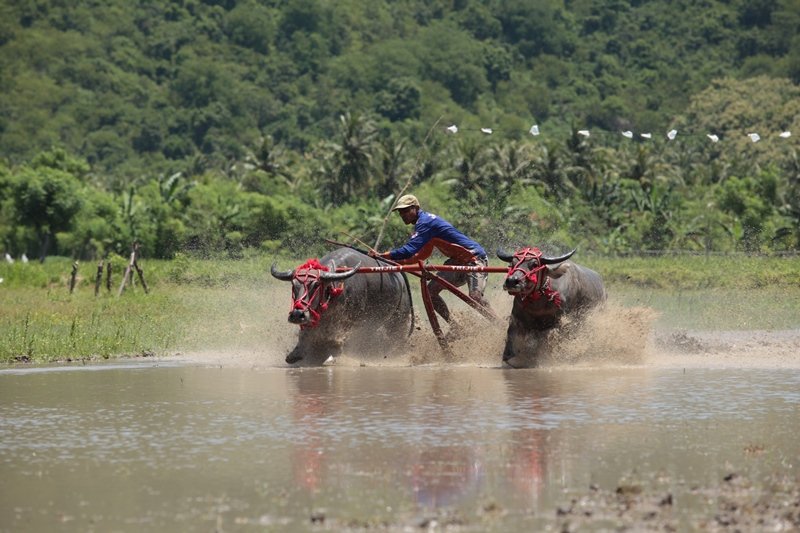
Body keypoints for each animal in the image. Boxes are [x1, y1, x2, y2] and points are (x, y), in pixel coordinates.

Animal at [272, 246, 416, 364]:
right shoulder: (314, 315)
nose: (297, 314)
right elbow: (305, 333)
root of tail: (401, 278)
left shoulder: (350, 320)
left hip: (399, 319)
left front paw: (332, 356)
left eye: (316, 284)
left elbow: (340, 338)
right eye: (294, 284)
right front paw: (295, 354)